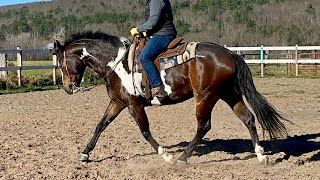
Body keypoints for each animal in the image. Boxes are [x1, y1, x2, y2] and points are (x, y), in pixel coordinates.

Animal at [56, 31, 288, 165]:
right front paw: (85, 153)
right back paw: (260, 155)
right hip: (229, 94)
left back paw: (182, 157)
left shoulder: (134, 105)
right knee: (248, 118)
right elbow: (100, 125)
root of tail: (230, 54)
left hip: (205, 97)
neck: (116, 63)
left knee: (204, 126)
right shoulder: (117, 103)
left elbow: (145, 131)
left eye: (61, 63)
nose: (68, 88)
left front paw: (166, 155)